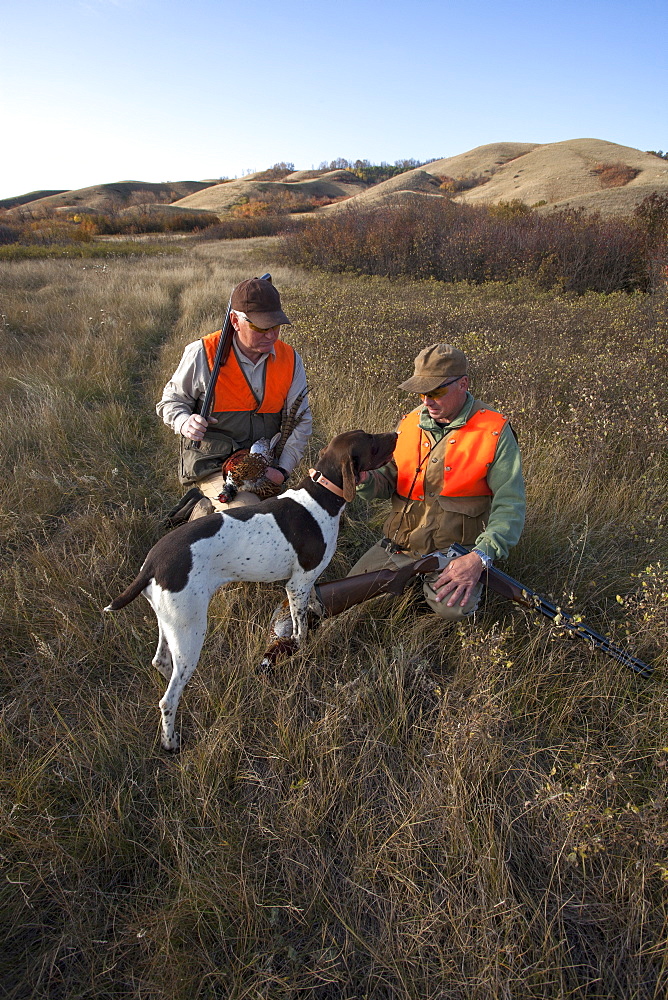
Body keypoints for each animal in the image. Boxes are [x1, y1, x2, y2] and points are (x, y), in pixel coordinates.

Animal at [104, 430, 396, 752]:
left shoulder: (305, 583)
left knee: (162, 662)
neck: (321, 497)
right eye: (371, 442)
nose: (395, 434)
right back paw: (171, 742)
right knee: (168, 699)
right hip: (190, 628)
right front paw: (301, 650)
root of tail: (152, 562)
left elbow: (313, 606)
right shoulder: (297, 583)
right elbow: (300, 629)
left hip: (170, 622)